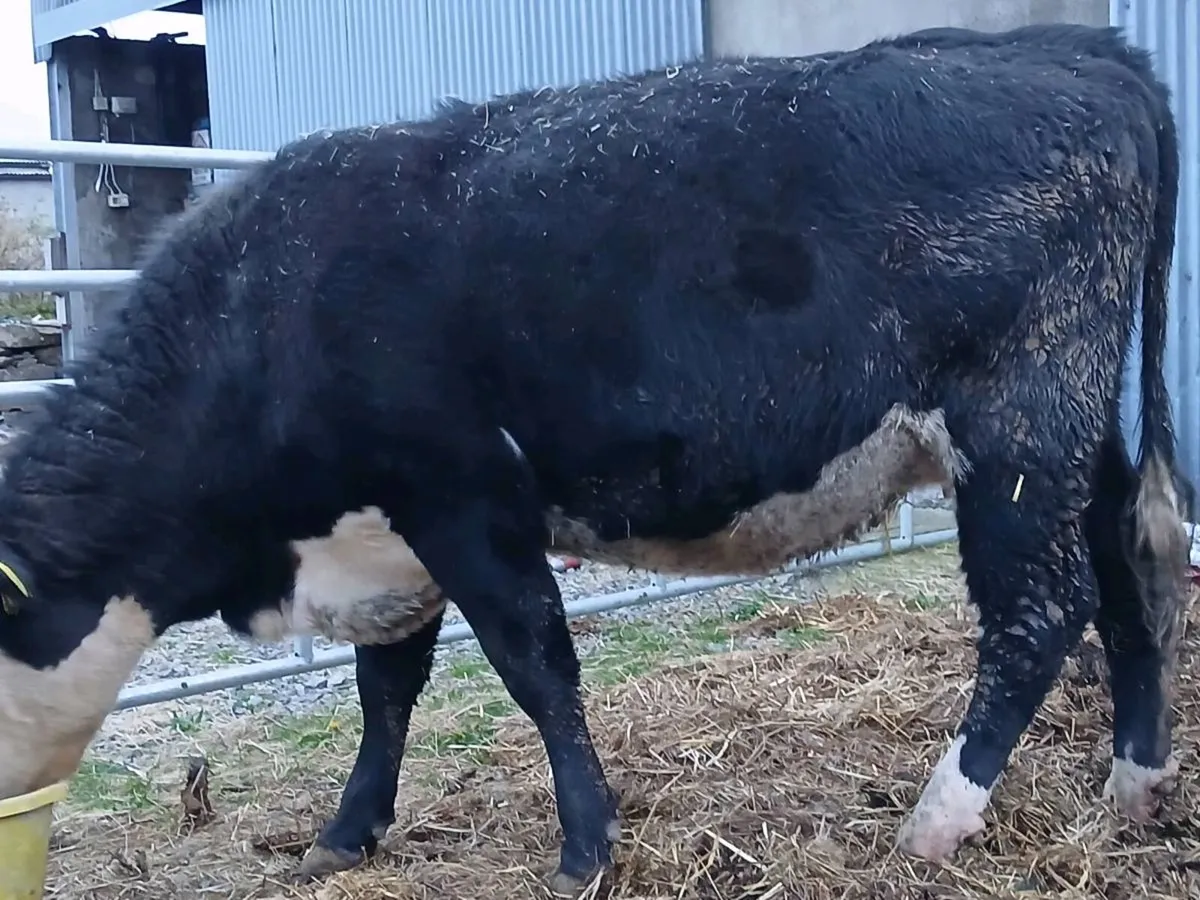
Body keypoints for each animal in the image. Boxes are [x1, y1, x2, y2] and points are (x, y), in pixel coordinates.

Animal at [0, 20, 1189, 896]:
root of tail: (1075, 47)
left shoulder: (465, 501)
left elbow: (535, 668)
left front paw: (584, 849)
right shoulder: (391, 535)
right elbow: (387, 689)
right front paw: (346, 833)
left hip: (1017, 427)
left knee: (1039, 610)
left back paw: (938, 819)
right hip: (1083, 429)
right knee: (1127, 568)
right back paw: (1132, 784)